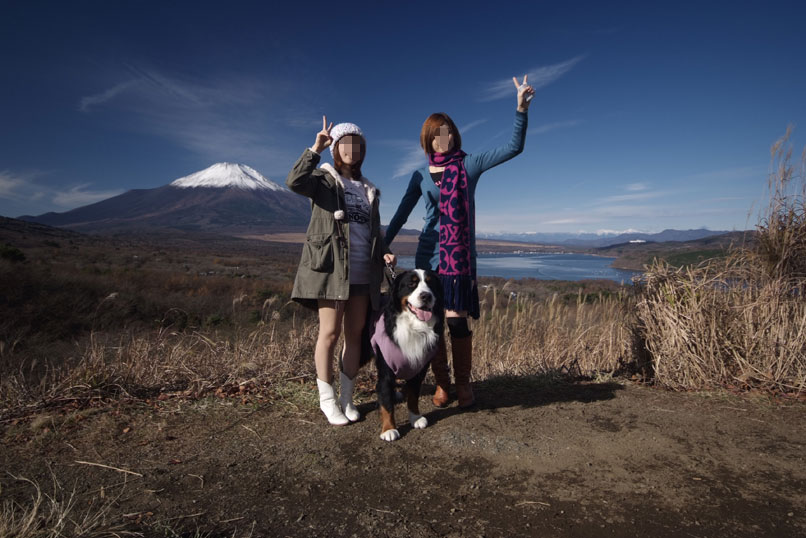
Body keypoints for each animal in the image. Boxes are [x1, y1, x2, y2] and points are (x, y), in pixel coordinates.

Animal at [362, 266, 446, 440]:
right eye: (411, 284)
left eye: (431, 284)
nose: (426, 296)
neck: (414, 327)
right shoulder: (386, 371)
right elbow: (386, 401)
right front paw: (388, 429)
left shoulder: (418, 368)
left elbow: (413, 396)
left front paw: (415, 417)